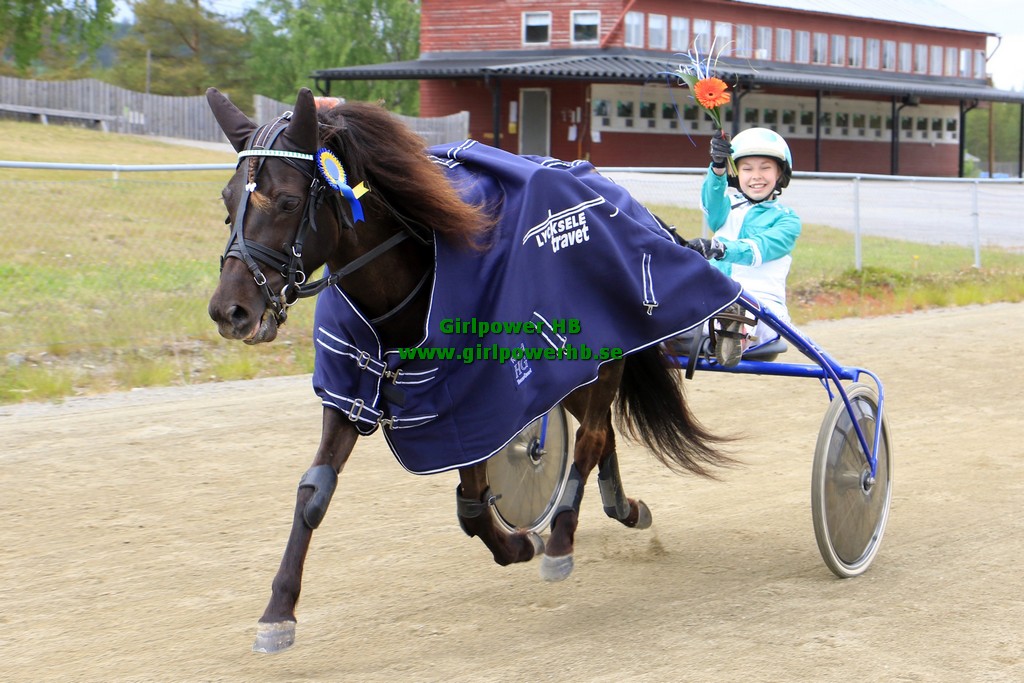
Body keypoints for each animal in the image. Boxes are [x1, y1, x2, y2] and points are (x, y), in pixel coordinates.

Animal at [205, 87, 739, 653]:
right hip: (577, 375)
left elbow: (474, 504)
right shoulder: (356, 390)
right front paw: (278, 612)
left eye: (287, 201)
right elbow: (314, 492)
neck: (411, 281)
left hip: (600, 355)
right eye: (227, 200)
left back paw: (562, 539)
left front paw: (524, 544)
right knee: (602, 434)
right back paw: (622, 506)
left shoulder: (474, 401)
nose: (229, 311)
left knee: (593, 437)